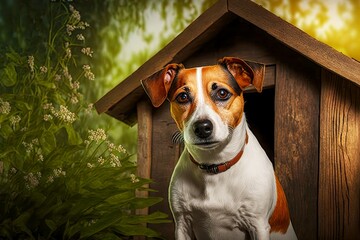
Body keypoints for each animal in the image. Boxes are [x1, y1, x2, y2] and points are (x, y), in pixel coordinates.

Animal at [142, 56, 296, 240]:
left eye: (222, 93)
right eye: (183, 97)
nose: (202, 127)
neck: (214, 166)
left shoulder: (257, 224)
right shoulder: (182, 223)